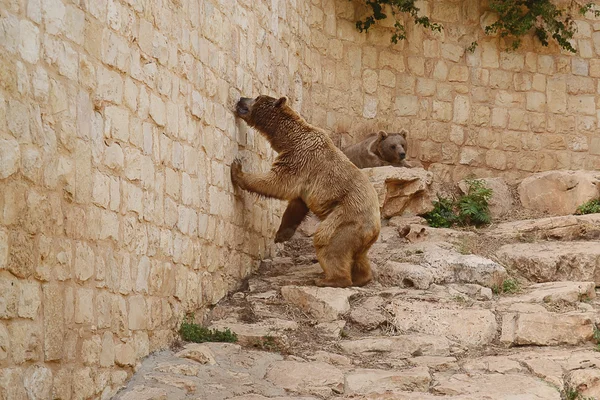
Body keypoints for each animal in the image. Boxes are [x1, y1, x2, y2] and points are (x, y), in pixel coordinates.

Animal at [233, 94, 380, 288]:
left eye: (257, 97)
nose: (241, 98)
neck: (289, 139)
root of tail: (375, 229)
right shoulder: (304, 179)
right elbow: (296, 204)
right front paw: (281, 235)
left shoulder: (300, 159)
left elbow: (277, 183)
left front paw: (237, 171)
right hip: (360, 234)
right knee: (359, 256)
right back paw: (362, 277)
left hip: (347, 216)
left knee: (327, 240)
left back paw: (330, 279)